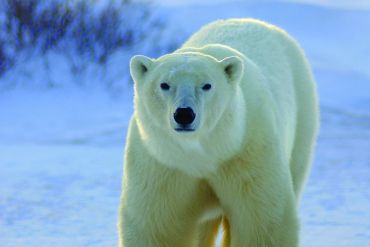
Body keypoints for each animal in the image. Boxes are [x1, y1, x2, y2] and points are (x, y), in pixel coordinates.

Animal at [120, 18, 320, 247]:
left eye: (207, 85)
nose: (184, 114)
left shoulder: (247, 154)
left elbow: (262, 222)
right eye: (164, 84)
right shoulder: (161, 164)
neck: (205, 152)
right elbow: (157, 227)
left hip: (302, 118)